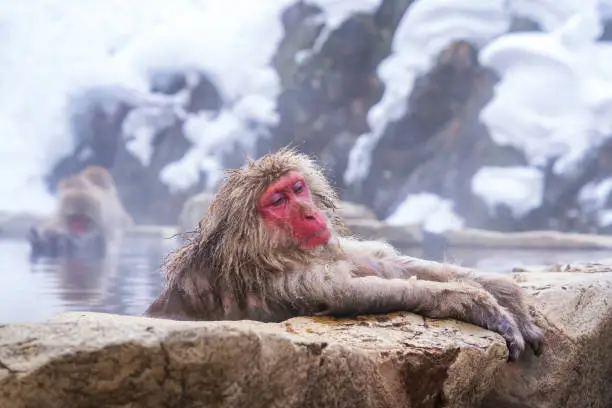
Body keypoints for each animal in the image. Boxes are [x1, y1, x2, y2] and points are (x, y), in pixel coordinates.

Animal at [146, 148, 544, 362]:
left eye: (297, 188)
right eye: (278, 200)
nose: (310, 213)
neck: (272, 254)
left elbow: (387, 265)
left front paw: (507, 295)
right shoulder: (288, 283)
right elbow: (349, 294)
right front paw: (478, 303)